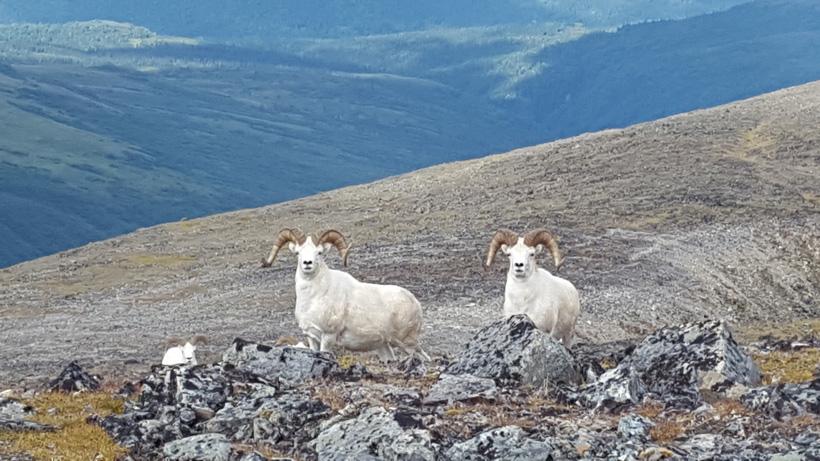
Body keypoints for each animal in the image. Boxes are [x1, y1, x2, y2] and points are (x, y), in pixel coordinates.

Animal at [261, 228, 430, 361]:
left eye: (319, 252)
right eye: (298, 253)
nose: (307, 263)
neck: (313, 299)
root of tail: (415, 302)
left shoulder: (328, 336)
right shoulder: (312, 337)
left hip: (407, 342)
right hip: (383, 346)